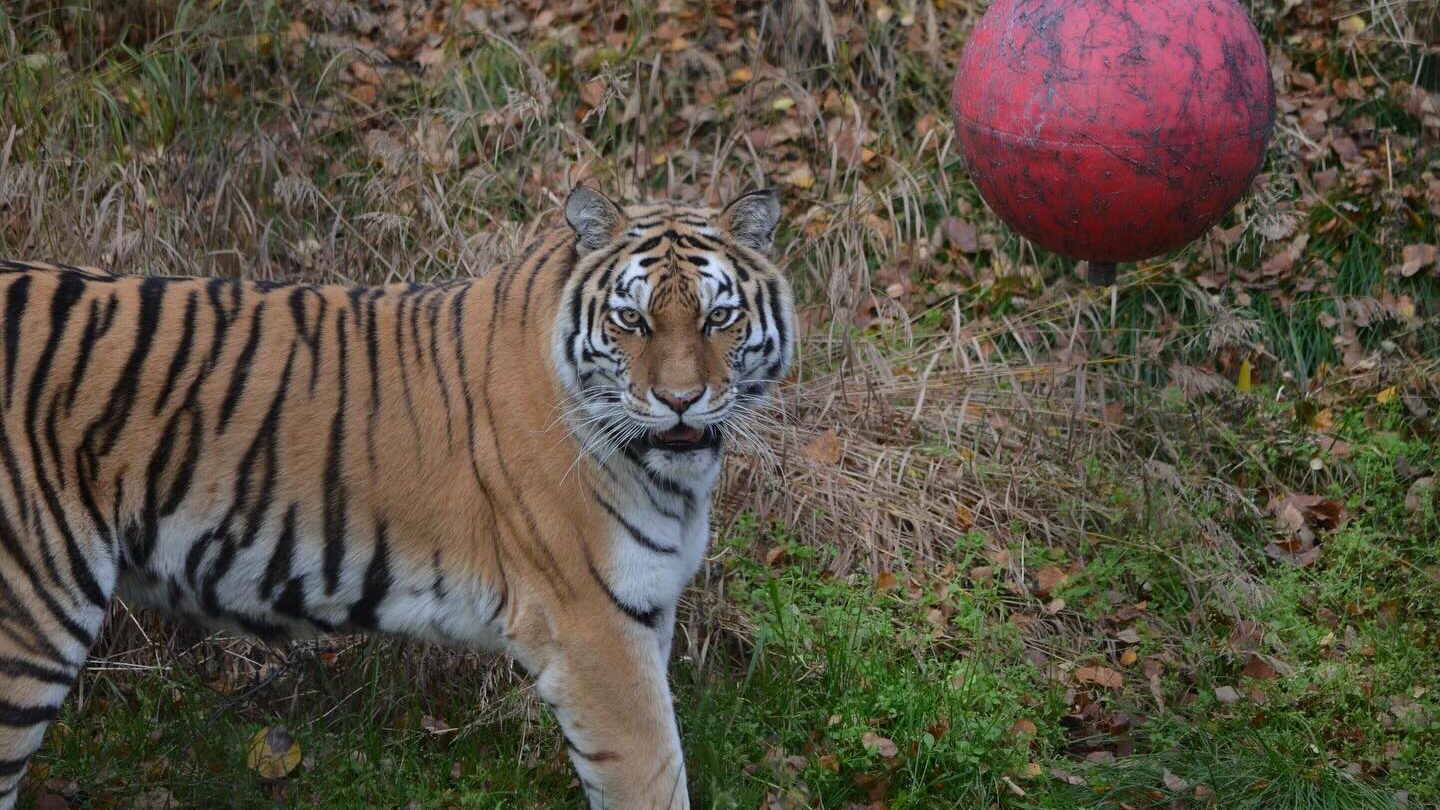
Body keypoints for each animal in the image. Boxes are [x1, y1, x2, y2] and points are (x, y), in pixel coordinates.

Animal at [0, 186, 793, 809]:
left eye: (718, 319)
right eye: (632, 321)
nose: (680, 401)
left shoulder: (644, 611)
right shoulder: (592, 628)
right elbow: (653, 776)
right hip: (31, 620)